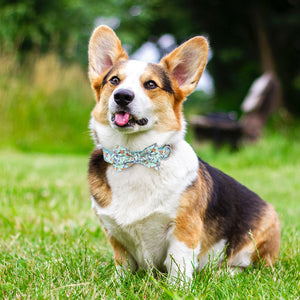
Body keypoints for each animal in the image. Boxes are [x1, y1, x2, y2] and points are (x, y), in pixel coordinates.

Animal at [87, 25, 282, 282]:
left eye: (151, 84)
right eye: (114, 80)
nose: (122, 95)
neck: (136, 156)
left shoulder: (183, 228)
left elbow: (178, 264)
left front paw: (176, 287)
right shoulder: (114, 233)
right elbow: (123, 265)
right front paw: (117, 283)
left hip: (260, 236)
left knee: (250, 266)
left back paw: (225, 272)